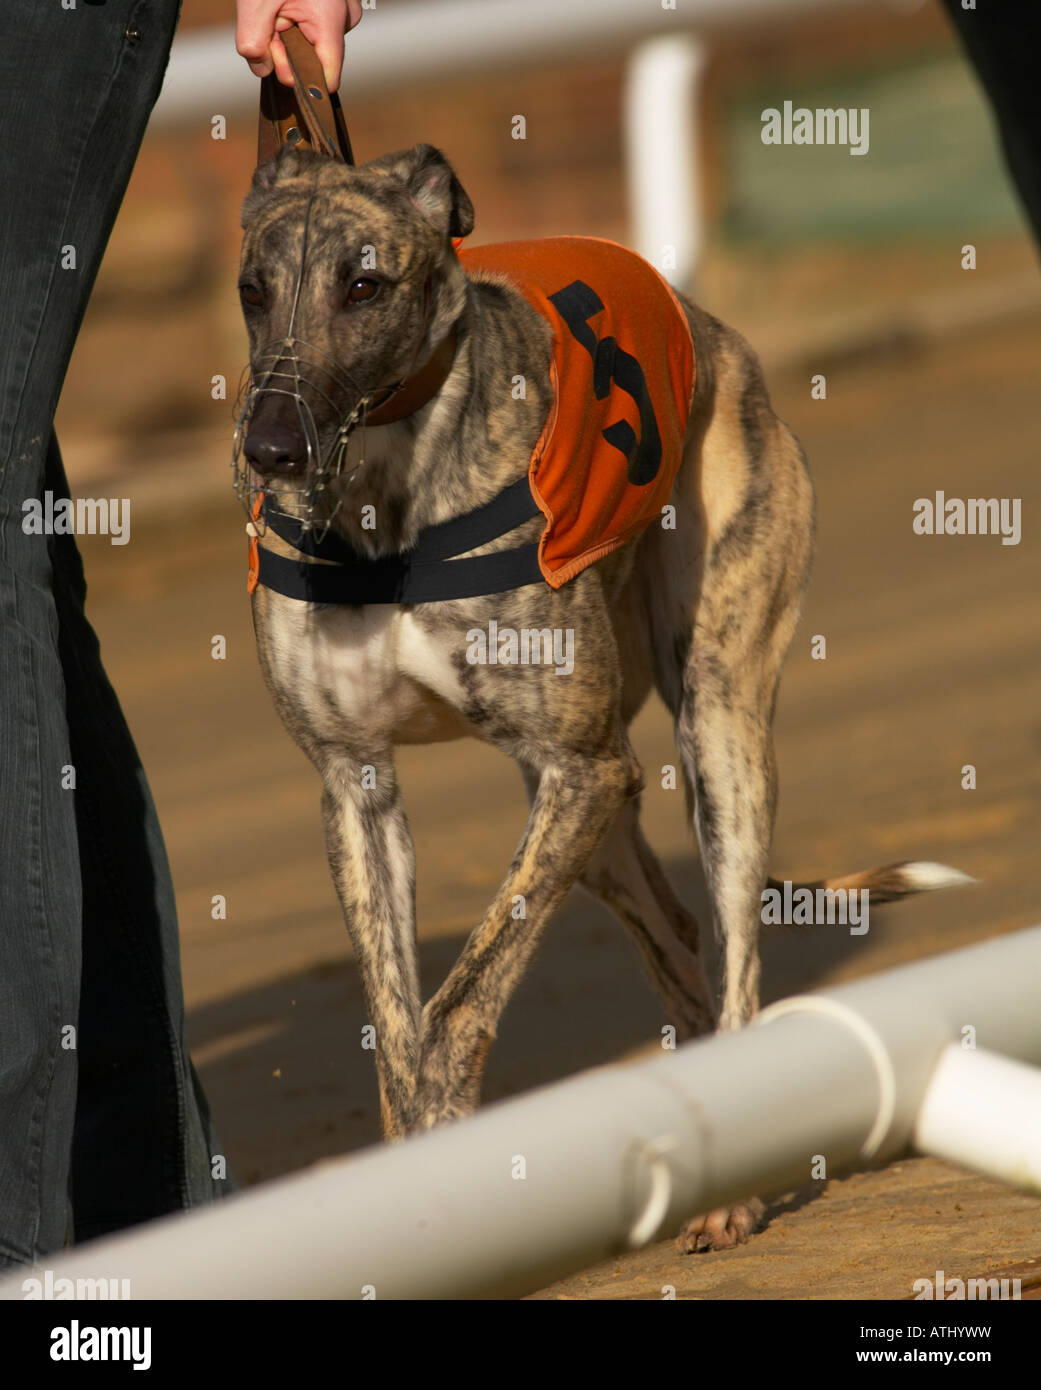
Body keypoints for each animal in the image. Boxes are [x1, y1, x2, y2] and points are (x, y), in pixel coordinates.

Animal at [237, 141, 967, 1251]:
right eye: (253, 290)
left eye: (363, 286)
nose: (269, 448)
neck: (389, 498)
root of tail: (708, 323)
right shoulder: (359, 789)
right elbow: (397, 1025)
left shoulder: (580, 767)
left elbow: (458, 1003)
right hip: (598, 820)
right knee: (681, 949)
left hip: (713, 728)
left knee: (734, 952)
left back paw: (734, 1190)